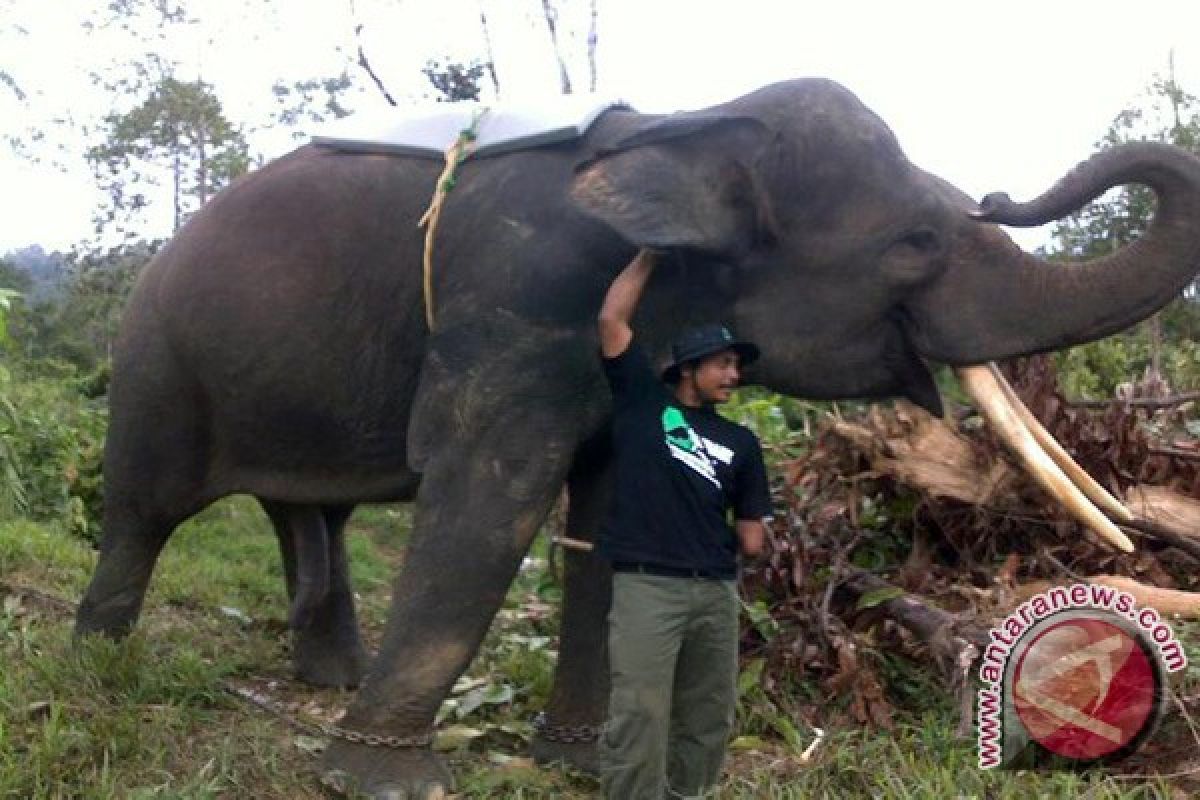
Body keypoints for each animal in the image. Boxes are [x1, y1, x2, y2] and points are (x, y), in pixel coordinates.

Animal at [72, 76, 1200, 800]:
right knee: (147, 504)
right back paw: (100, 659)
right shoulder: (520, 299)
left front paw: (577, 763)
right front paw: (389, 780)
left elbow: (610, 516)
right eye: (915, 242)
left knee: (313, 508)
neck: (691, 121)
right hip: (157, 358)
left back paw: (328, 679)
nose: (1007, 192)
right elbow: (489, 498)